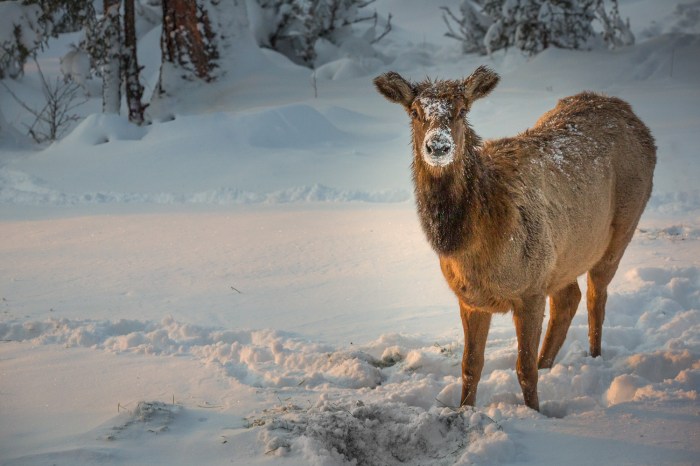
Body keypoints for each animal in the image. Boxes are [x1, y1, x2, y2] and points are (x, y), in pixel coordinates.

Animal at [374, 66, 656, 411]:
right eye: (414, 112)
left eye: (462, 110)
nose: (438, 146)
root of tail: (630, 113)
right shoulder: (470, 298)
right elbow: (470, 366)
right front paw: (465, 408)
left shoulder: (531, 289)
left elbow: (524, 368)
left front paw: (534, 412)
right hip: (562, 258)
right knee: (569, 298)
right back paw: (550, 365)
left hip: (622, 228)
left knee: (595, 296)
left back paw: (594, 357)